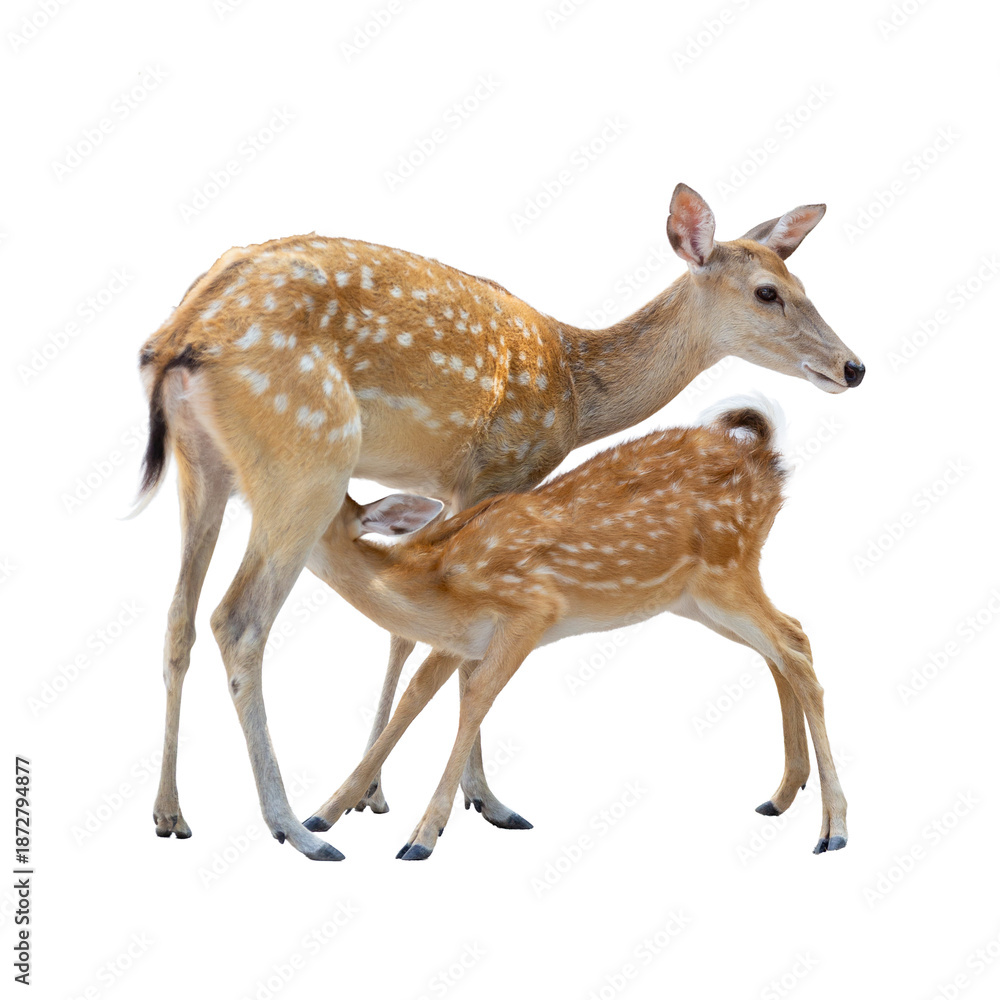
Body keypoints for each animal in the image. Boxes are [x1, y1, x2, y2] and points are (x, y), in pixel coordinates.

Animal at [300, 395, 848, 860]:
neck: (435, 580)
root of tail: (765, 457)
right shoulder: (460, 639)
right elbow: (415, 698)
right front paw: (324, 814)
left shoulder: (530, 611)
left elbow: (474, 699)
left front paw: (422, 836)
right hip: (694, 599)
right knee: (785, 642)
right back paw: (782, 795)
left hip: (726, 572)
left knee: (794, 645)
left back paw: (833, 828)